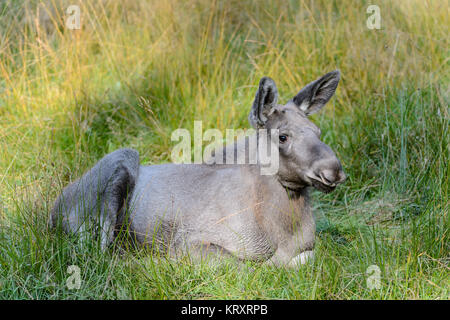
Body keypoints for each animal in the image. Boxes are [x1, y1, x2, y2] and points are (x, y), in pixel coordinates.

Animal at [53, 70, 348, 268]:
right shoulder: (191, 243)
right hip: (119, 168)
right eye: (283, 136)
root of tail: (51, 212)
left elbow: (309, 255)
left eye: (317, 131)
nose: (333, 170)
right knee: (100, 250)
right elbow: (255, 267)